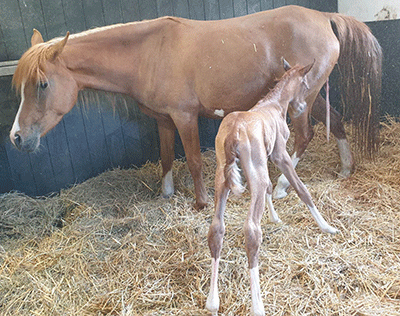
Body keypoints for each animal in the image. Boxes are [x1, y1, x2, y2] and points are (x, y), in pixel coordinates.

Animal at [208, 59, 340, 316]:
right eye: (305, 83)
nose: (300, 107)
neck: (274, 104)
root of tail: (234, 133)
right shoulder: (279, 154)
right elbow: (301, 189)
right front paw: (327, 227)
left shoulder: (267, 159)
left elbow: (271, 186)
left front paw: (275, 217)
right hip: (254, 170)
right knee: (251, 229)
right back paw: (257, 305)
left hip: (222, 176)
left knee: (217, 228)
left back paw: (212, 301)